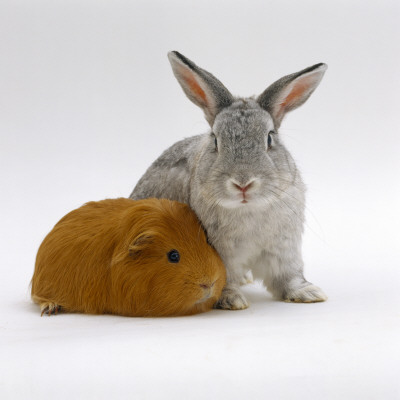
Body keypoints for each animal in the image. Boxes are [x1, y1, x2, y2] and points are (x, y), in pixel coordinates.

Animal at [131, 51, 328, 310]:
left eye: (269, 138)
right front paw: (231, 300)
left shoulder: (283, 250)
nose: (243, 183)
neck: (249, 209)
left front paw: (309, 293)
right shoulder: (219, 253)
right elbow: (223, 277)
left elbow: (288, 276)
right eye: (215, 140)